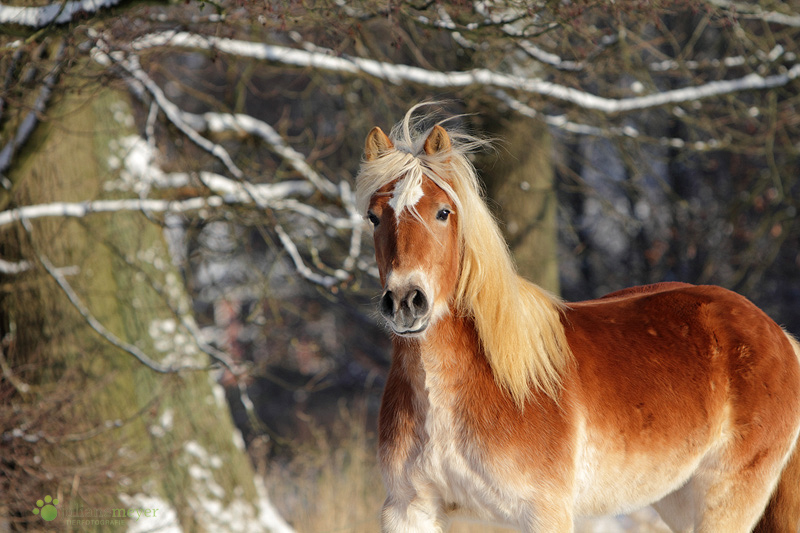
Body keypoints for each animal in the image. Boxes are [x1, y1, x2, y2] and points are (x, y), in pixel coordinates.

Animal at [356, 105, 800, 532]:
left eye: (443, 212)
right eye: (373, 217)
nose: (406, 301)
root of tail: (779, 336)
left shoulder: (543, 511)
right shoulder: (409, 510)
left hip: (726, 500)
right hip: (677, 500)